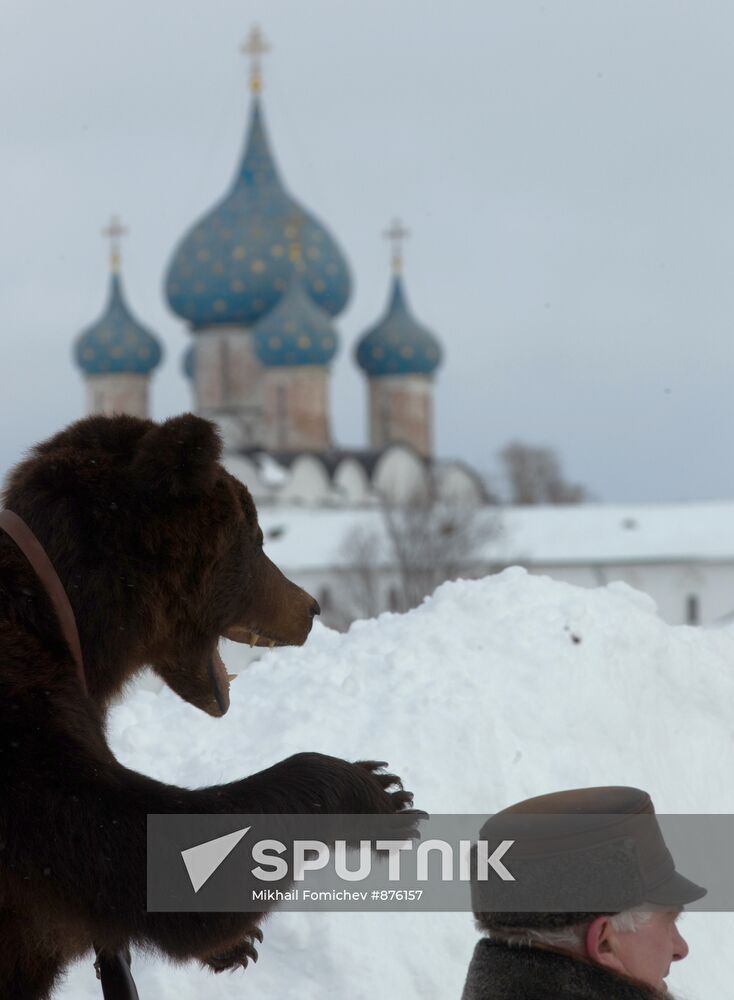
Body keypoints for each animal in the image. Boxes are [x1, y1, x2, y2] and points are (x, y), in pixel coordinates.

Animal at [0, 414, 414, 1000]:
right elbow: (139, 854)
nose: (310, 607)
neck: (75, 615)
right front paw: (380, 791)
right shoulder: (26, 739)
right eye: (256, 538)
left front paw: (235, 945)